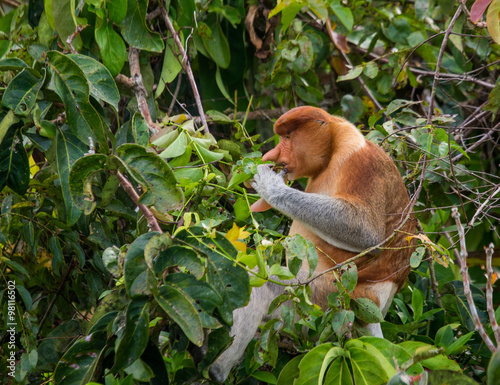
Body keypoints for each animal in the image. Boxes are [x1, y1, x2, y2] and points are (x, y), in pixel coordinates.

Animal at [207, 105, 414, 380]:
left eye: (287, 137)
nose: (271, 154)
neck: (331, 154)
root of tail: (377, 308)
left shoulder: (360, 162)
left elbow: (365, 232)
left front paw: (269, 185)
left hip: (325, 300)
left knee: (264, 285)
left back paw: (216, 371)